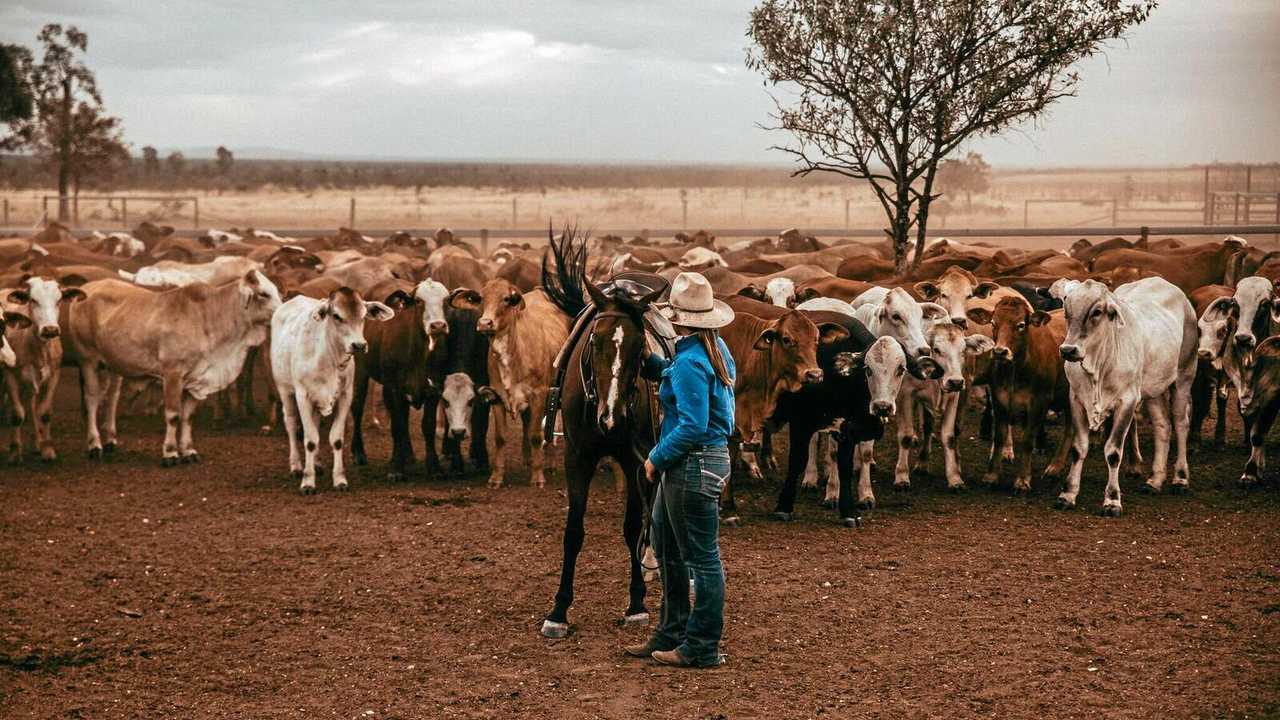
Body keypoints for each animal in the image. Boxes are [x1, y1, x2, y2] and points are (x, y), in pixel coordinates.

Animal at [277, 285, 396, 491]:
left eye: (363, 315)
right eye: (337, 316)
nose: (359, 345)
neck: (328, 358)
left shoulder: (345, 396)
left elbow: (336, 439)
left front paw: (340, 479)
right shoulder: (303, 396)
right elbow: (310, 440)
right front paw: (307, 482)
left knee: (315, 424)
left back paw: (317, 464)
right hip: (285, 390)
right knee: (291, 423)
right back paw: (296, 466)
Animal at [537, 226, 665, 635]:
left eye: (640, 347)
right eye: (595, 341)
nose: (611, 417)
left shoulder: (634, 459)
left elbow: (631, 525)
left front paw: (637, 603)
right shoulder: (577, 457)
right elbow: (573, 531)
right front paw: (558, 610)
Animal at [1049, 275, 1198, 515]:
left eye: (1097, 311)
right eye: (1066, 308)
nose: (1068, 350)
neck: (1098, 367)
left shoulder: (1127, 401)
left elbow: (1113, 452)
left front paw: (1112, 500)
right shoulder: (1077, 400)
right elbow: (1078, 448)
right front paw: (1067, 494)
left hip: (1184, 376)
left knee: (1181, 423)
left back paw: (1180, 479)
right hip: (1152, 389)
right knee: (1163, 426)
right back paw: (1155, 481)